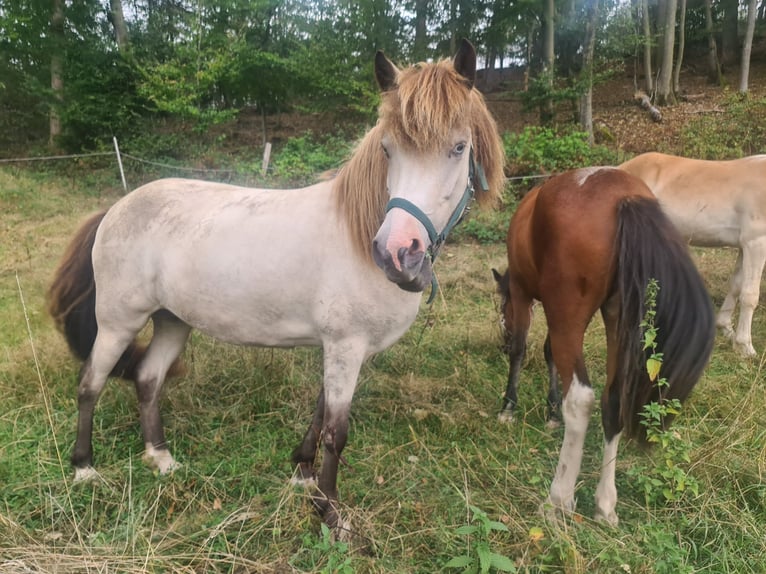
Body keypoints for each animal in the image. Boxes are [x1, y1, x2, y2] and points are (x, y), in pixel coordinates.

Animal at [46, 39, 506, 532]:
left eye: (458, 147)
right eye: (387, 149)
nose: (397, 252)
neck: (357, 232)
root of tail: (115, 209)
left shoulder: (341, 348)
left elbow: (320, 413)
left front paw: (303, 475)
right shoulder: (345, 345)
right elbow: (337, 431)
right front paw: (331, 513)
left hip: (173, 321)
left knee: (149, 378)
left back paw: (162, 458)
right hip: (118, 323)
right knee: (90, 382)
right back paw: (84, 468)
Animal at [494, 167, 715, 524]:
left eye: (503, 308)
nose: (501, 341)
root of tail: (623, 196)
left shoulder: (524, 293)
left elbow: (522, 350)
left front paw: (508, 408)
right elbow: (548, 353)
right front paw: (550, 410)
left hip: (568, 314)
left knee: (581, 400)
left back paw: (558, 499)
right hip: (616, 318)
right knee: (613, 401)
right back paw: (605, 503)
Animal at [619, 151, 766, 357]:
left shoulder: (744, 247)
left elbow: (736, 286)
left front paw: (726, 329)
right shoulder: (756, 243)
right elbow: (750, 295)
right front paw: (745, 347)